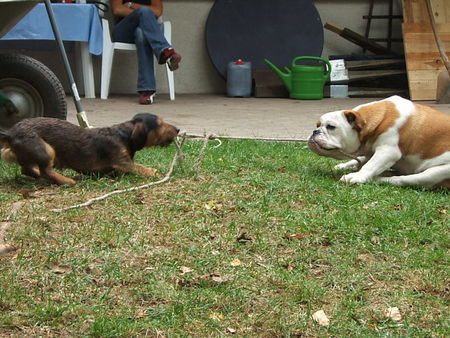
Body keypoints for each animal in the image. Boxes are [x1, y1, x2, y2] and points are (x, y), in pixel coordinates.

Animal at [0, 113, 179, 185]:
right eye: (160, 124)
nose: (178, 129)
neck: (124, 134)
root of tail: (10, 133)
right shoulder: (122, 162)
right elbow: (142, 168)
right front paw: (156, 173)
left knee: (26, 169)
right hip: (46, 149)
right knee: (45, 170)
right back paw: (66, 180)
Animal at [308, 96, 450, 189]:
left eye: (331, 127)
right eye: (317, 125)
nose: (315, 131)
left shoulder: (388, 151)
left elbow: (370, 165)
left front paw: (357, 176)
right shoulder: (371, 151)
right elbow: (362, 159)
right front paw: (345, 165)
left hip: (432, 174)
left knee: (401, 180)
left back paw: (377, 178)